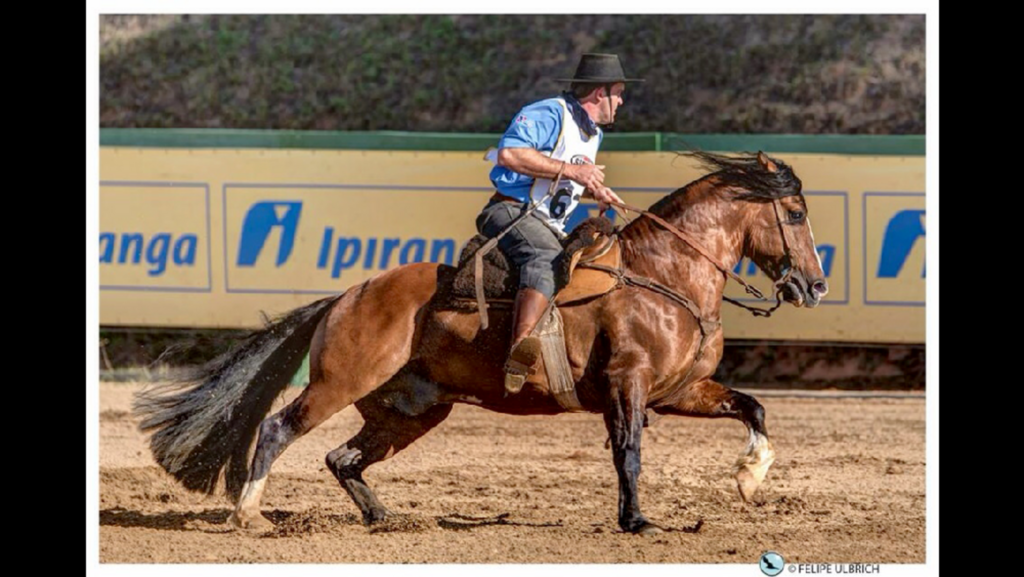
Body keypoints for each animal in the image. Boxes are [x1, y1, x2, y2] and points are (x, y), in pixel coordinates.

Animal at [132, 150, 827, 537]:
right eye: (794, 214)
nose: (814, 285)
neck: (662, 277)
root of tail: (346, 297)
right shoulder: (627, 386)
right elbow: (628, 454)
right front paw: (637, 521)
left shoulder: (678, 390)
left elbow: (753, 407)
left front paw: (749, 480)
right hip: (339, 382)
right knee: (279, 429)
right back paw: (249, 515)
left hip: (412, 410)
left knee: (342, 458)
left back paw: (384, 518)